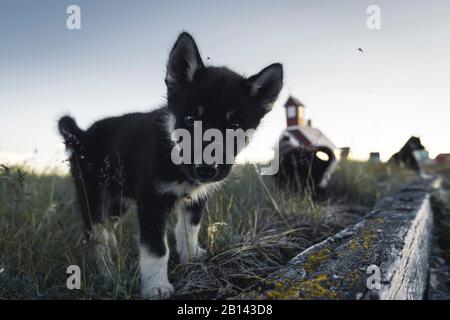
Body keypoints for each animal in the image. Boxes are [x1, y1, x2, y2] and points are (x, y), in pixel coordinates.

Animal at [56, 31, 282, 298]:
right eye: (191, 118)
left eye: (234, 126)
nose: (206, 169)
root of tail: (81, 135)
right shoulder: (152, 202)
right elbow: (156, 249)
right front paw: (156, 286)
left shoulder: (195, 199)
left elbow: (188, 231)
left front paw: (191, 258)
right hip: (91, 193)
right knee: (95, 233)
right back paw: (106, 272)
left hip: (119, 199)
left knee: (107, 227)